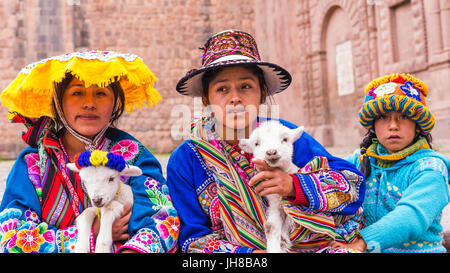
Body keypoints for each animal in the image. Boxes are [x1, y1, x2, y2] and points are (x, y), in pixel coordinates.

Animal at [239, 120, 302, 252]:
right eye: (256, 144)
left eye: (285, 139)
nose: (271, 152)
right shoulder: (274, 202)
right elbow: (270, 226)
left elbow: (292, 218)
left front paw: (283, 240)